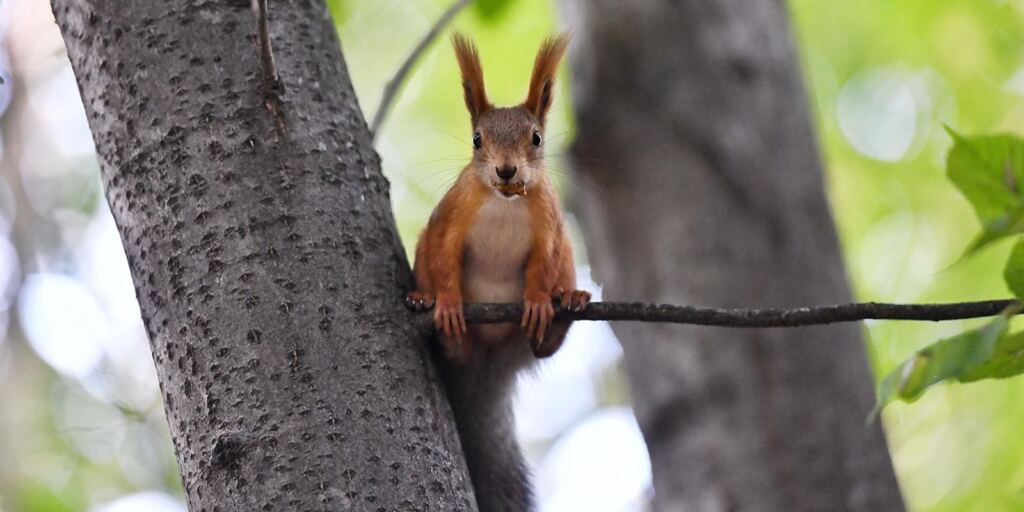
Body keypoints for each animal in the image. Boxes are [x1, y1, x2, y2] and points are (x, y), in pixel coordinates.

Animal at [405, 33, 590, 511]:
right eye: (477, 139)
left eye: (537, 138)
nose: (506, 170)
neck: (504, 200)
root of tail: (491, 363)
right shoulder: (450, 220)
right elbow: (445, 259)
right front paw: (448, 304)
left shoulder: (549, 229)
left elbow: (541, 266)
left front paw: (540, 301)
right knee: (456, 349)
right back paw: (438, 317)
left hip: (548, 295)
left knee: (544, 349)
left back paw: (566, 307)